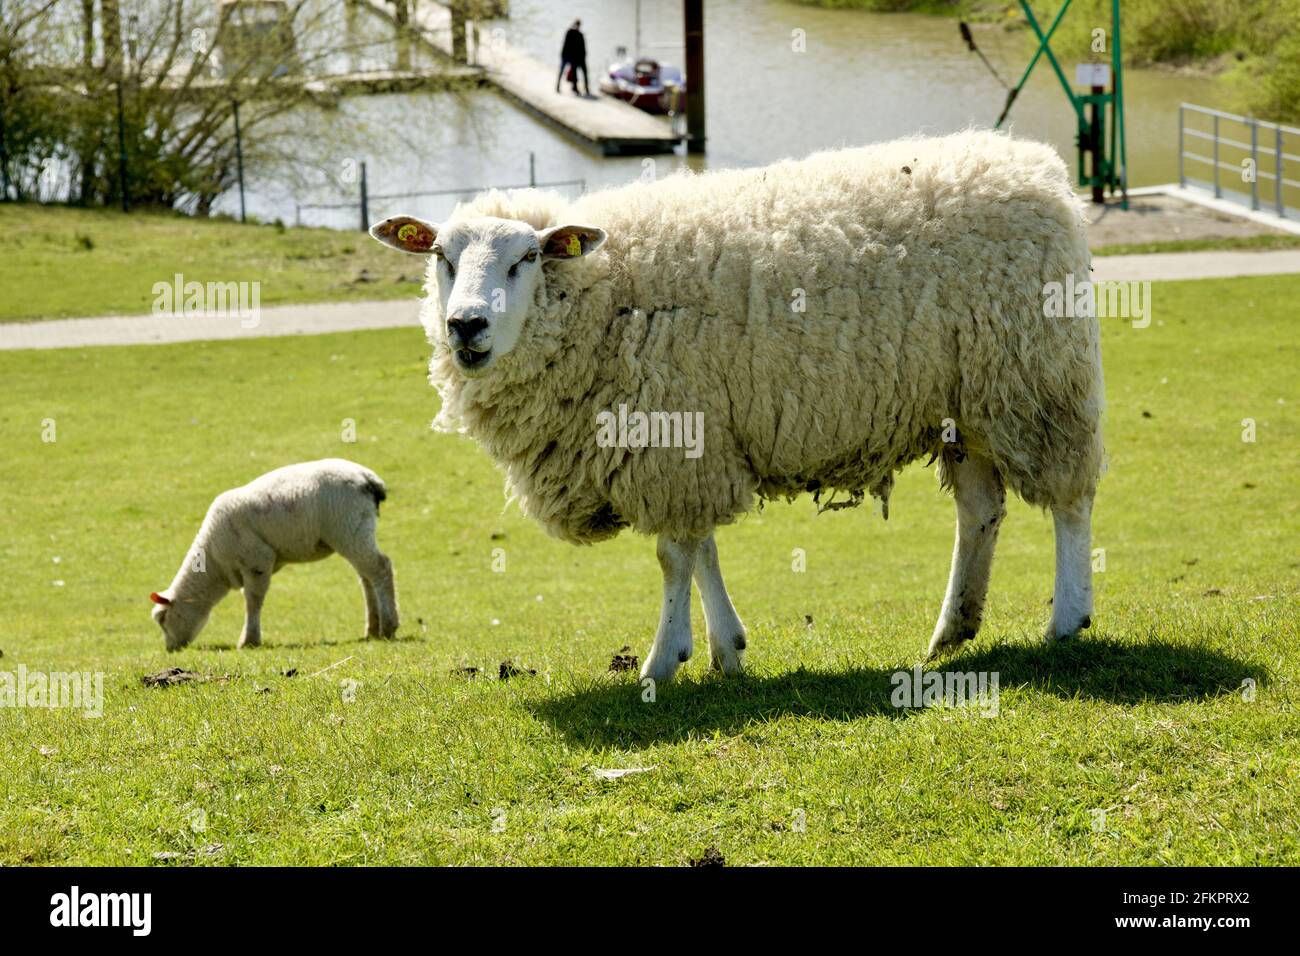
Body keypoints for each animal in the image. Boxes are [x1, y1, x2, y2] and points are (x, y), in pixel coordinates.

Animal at [150, 459, 399, 650]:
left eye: (162, 619)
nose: (170, 649)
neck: (214, 565)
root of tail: (369, 478)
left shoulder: (256, 560)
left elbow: (253, 600)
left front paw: (249, 641)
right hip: (354, 532)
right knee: (366, 576)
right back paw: (372, 629)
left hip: (349, 527)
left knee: (380, 568)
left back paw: (389, 627)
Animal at [369, 130, 1103, 683]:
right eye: (441, 256)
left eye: (525, 257)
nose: (465, 326)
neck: (602, 297)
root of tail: (1040, 168)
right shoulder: (696, 440)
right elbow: (702, 549)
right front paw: (726, 649)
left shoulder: (671, 435)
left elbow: (674, 555)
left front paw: (663, 661)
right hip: (969, 402)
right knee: (980, 509)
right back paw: (954, 628)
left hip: (1039, 378)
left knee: (1070, 499)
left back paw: (1067, 619)